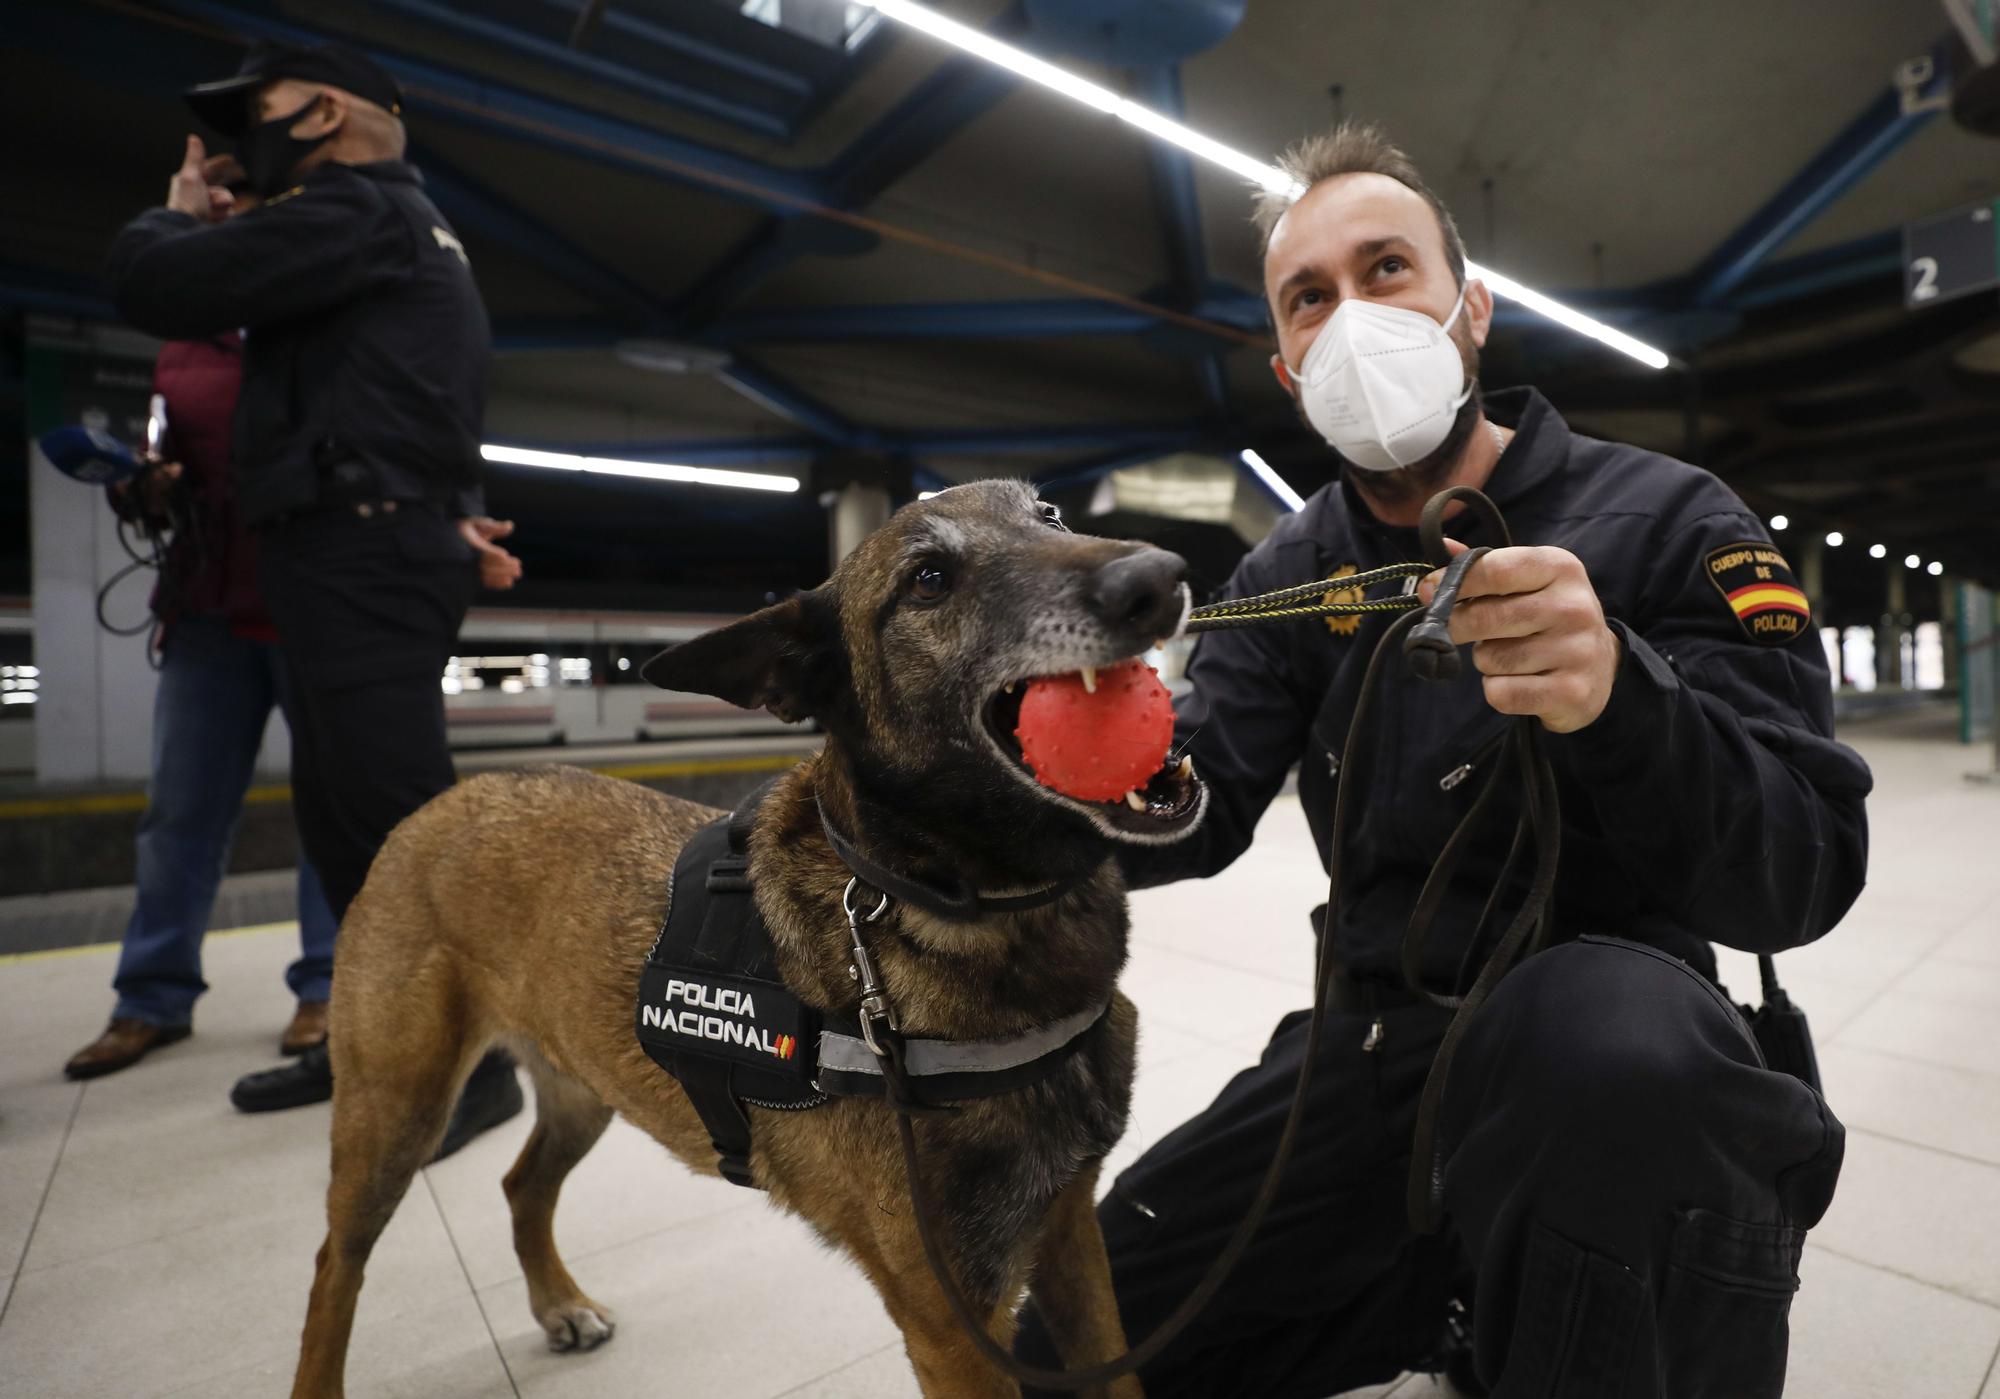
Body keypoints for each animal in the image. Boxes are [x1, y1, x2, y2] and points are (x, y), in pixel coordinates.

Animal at [290, 475, 1208, 1391]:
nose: (1158, 577)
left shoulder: (1068, 1232)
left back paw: (559, 1302)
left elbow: (1117, 1370)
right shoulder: (952, 1326)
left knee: (522, 1185)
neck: (939, 909)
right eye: (929, 581)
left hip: (584, 1083)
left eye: (1048, 516)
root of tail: (443, 801)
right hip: (396, 1111)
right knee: (336, 1259)